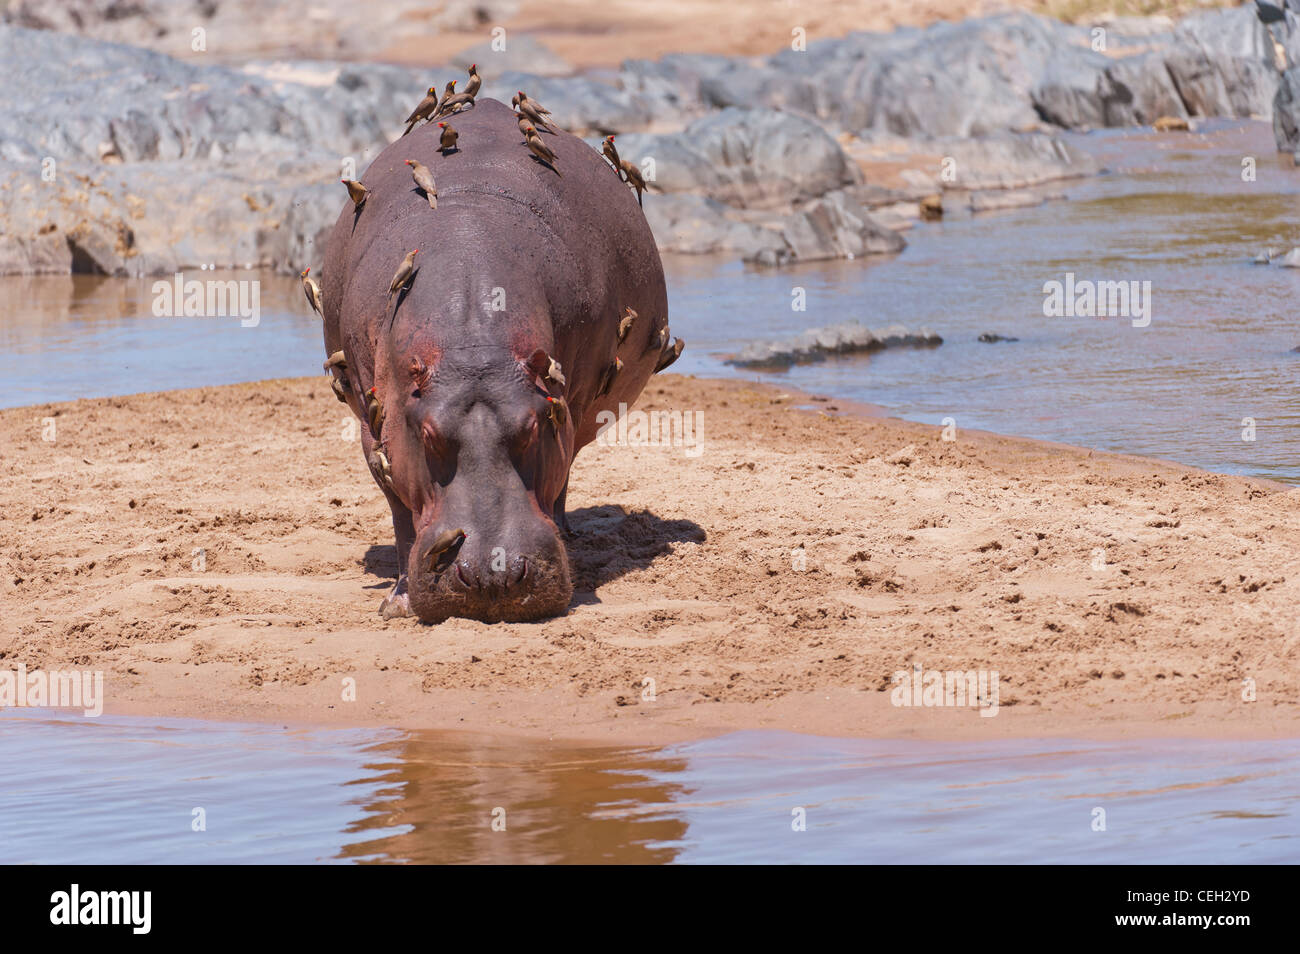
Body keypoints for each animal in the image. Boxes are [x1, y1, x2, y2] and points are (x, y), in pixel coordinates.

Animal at [321, 93, 676, 623]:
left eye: (533, 426)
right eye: (428, 434)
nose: (494, 576)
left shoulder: (562, 407)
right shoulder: (377, 430)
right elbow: (401, 513)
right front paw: (397, 604)